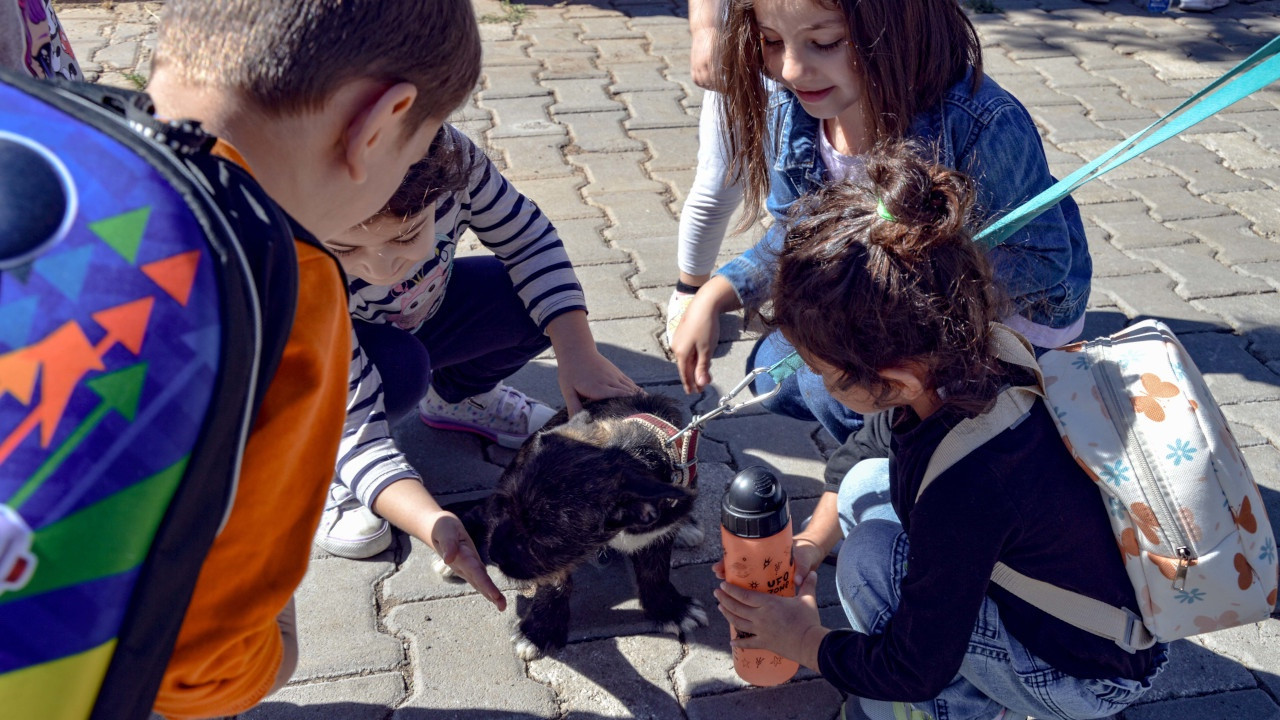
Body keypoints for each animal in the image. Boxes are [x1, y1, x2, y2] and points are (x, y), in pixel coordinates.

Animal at [442, 392, 711, 655]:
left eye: (541, 539)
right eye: (509, 508)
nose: (495, 555)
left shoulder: (658, 530)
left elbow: (655, 571)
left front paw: (671, 609)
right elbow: (555, 583)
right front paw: (538, 632)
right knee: (481, 510)